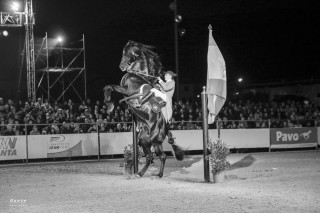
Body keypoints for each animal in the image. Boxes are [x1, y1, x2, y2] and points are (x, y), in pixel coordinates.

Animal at [104, 40, 184, 177]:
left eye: (128, 52)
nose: (122, 66)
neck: (137, 75)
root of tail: (166, 129)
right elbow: (108, 87)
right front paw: (110, 105)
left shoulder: (128, 90)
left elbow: (109, 86)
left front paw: (109, 106)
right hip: (143, 141)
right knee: (150, 157)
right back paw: (140, 173)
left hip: (155, 141)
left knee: (161, 156)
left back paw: (159, 175)